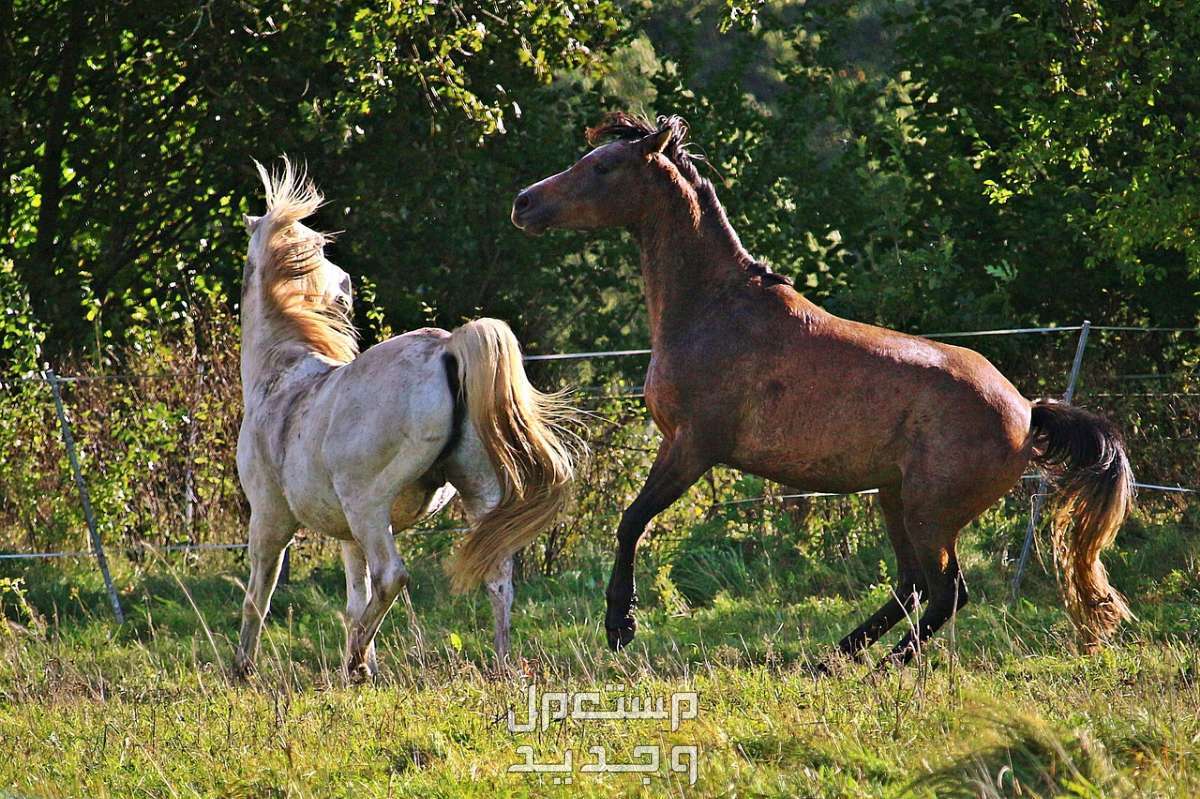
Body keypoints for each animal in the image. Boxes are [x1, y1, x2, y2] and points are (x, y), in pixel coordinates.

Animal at [235, 160, 580, 676]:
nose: (346, 287)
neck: (280, 373)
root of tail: (449, 347)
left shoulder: (270, 520)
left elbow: (259, 596)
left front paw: (242, 667)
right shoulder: (347, 535)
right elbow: (354, 598)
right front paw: (368, 670)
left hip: (369, 507)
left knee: (392, 575)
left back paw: (354, 660)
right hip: (477, 493)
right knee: (497, 576)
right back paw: (498, 665)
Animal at [511, 109, 1128, 662]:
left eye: (603, 166)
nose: (524, 202)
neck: (713, 309)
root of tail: (1027, 410)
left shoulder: (692, 446)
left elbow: (632, 520)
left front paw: (621, 624)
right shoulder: (682, 445)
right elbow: (632, 521)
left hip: (930, 514)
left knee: (947, 592)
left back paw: (884, 664)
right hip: (894, 497)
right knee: (912, 585)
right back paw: (834, 656)